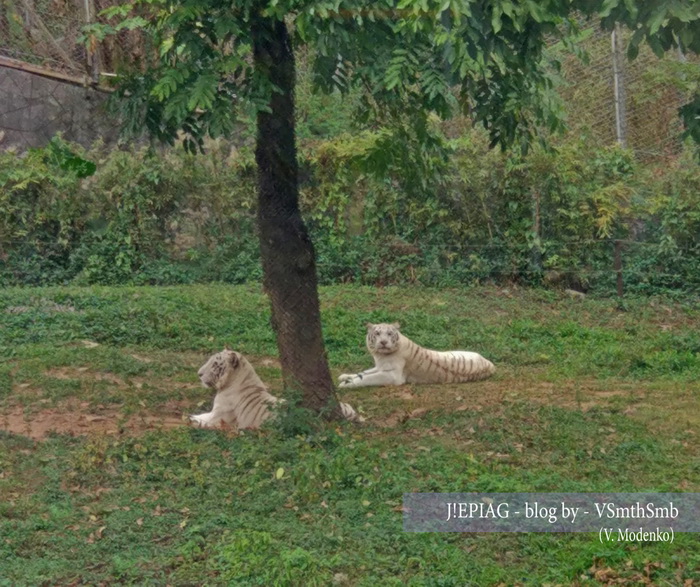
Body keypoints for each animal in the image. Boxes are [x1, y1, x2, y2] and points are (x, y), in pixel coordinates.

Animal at [338, 322, 492, 390]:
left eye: (389, 334)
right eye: (377, 333)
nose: (383, 342)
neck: (381, 355)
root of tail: (491, 365)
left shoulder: (392, 375)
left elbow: (367, 378)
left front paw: (346, 384)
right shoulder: (380, 366)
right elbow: (363, 372)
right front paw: (344, 377)